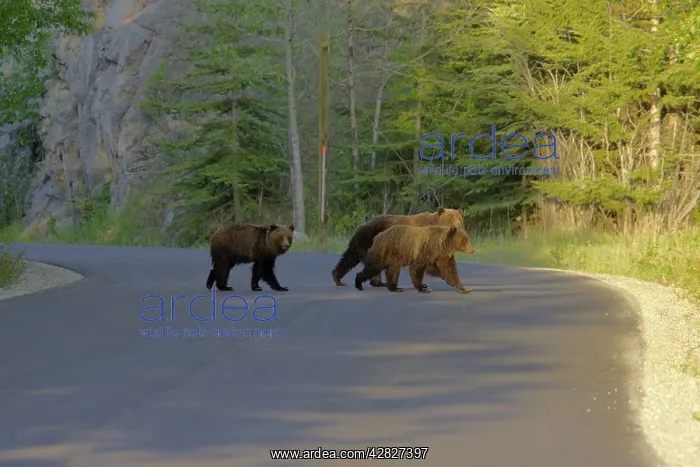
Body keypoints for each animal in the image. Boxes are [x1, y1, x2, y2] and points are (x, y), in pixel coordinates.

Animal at [331, 207, 464, 289]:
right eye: (450, 218)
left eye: (460, 218)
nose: (458, 226)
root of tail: (359, 228)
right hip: (372, 242)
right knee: (373, 263)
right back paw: (380, 283)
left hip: (358, 245)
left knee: (348, 259)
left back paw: (338, 278)